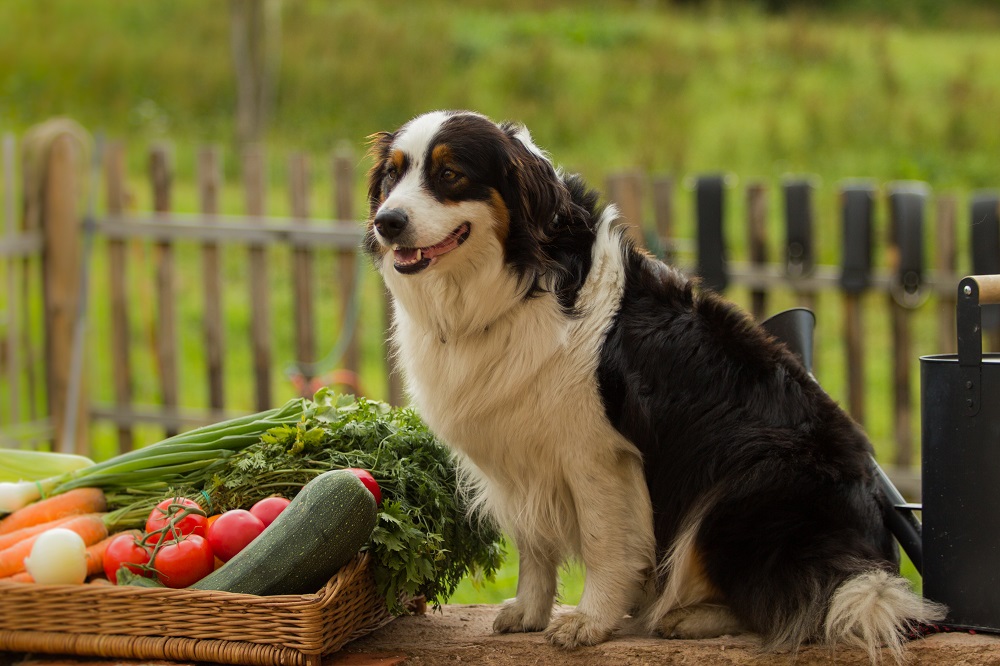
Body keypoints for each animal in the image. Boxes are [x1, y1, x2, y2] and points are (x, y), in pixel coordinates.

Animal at [364, 110, 940, 660]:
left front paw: (590, 622)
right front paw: (529, 612)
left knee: (801, 600)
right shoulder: (522, 452)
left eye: (450, 174)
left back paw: (685, 616)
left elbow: (604, 542)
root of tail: (872, 548)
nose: (386, 222)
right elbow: (534, 543)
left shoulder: (597, 453)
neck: (515, 283)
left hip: (748, 481)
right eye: (392, 176)